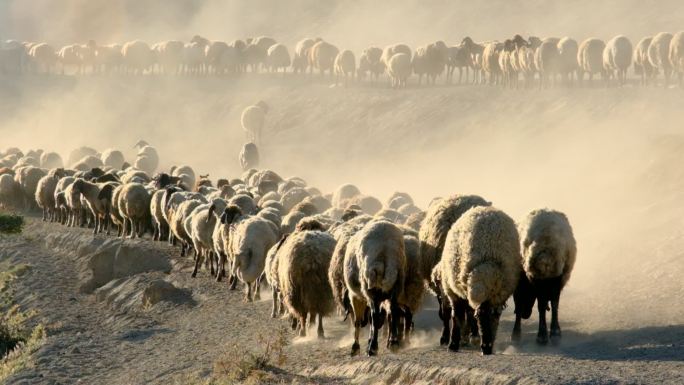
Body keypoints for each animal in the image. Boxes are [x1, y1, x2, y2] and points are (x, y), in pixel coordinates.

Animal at [342, 218, 406, 356]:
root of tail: (385, 248)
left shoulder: (355, 297)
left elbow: (359, 321)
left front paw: (356, 347)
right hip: (397, 282)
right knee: (393, 311)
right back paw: (393, 343)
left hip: (370, 288)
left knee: (375, 316)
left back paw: (373, 348)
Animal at [438, 207, 520, 354]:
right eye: (479, 318)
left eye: (494, 316)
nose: (486, 348)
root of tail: (482, 209)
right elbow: (460, 317)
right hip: (452, 287)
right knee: (458, 315)